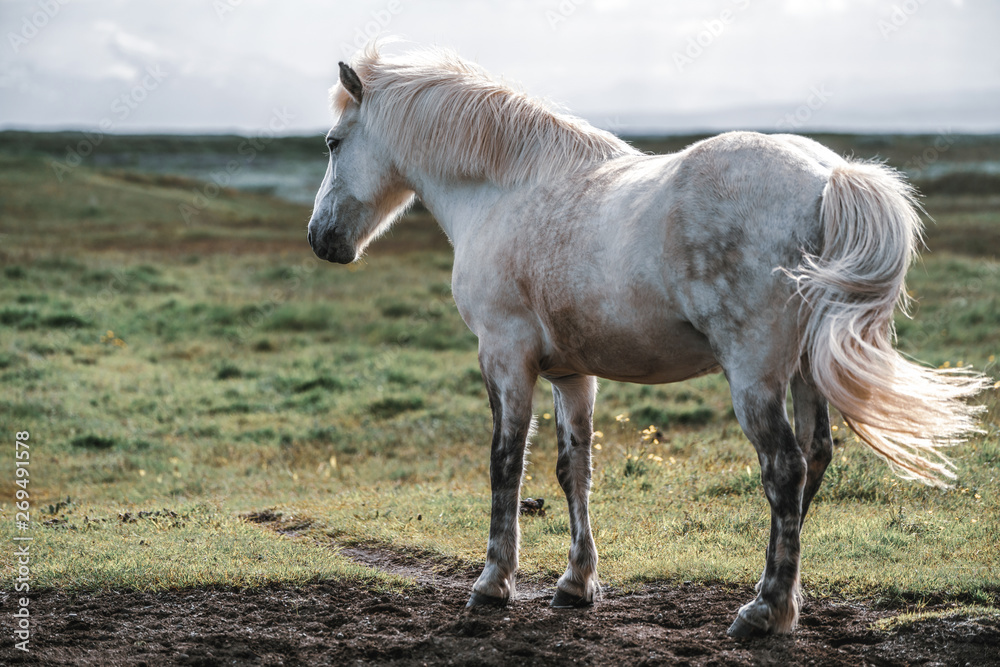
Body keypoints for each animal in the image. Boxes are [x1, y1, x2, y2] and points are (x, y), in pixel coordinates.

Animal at [308, 40, 988, 636]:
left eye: (334, 143)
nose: (322, 239)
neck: (505, 191)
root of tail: (828, 176)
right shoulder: (571, 374)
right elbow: (572, 469)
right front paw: (575, 584)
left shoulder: (504, 357)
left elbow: (505, 464)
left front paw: (493, 583)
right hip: (802, 371)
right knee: (815, 459)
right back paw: (781, 598)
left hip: (755, 374)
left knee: (785, 469)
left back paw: (763, 612)